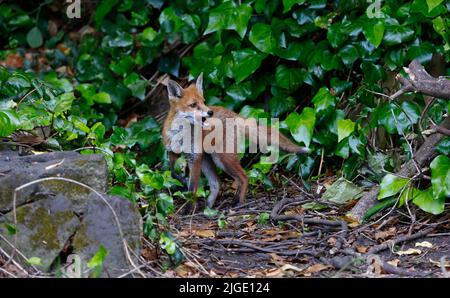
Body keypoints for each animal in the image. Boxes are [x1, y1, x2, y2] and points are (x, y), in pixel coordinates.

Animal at [163, 74, 312, 210]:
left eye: (204, 102)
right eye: (193, 105)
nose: (210, 112)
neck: (180, 136)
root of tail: (233, 114)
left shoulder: (195, 157)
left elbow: (192, 188)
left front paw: (188, 209)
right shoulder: (172, 152)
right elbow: (173, 172)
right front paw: (181, 181)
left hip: (222, 158)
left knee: (243, 177)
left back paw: (238, 203)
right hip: (209, 159)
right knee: (217, 183)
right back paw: (208, 208)